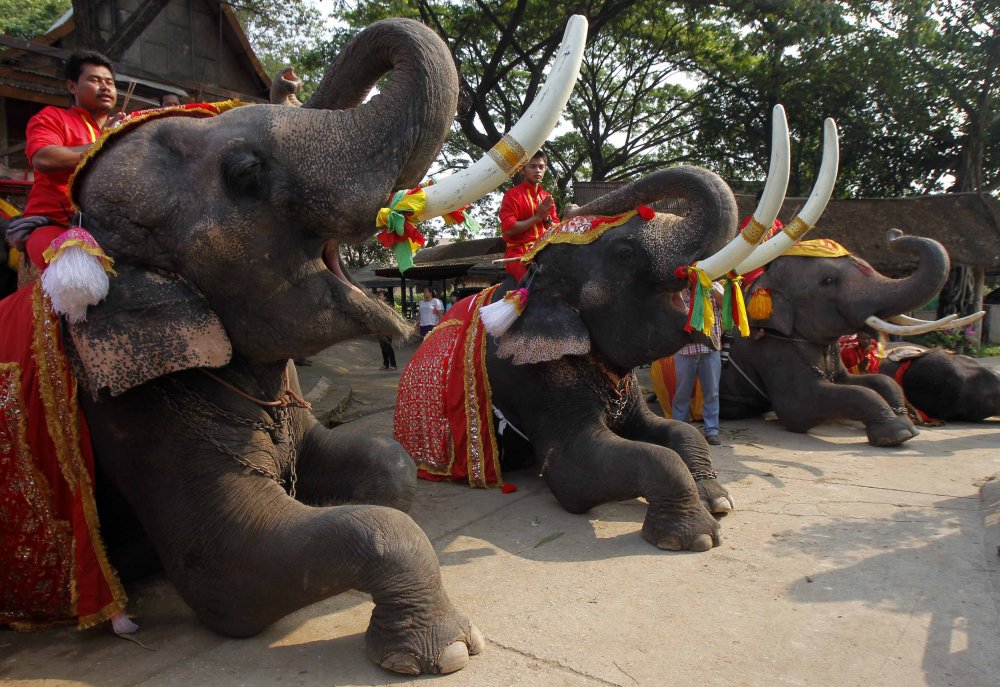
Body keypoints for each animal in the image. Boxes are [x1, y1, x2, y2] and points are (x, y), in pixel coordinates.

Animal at [0, 17, 588, 676]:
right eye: (245, 174)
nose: (288, 78)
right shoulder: (131, 410)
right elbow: (231, 574)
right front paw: (449, 650)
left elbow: (388, 468)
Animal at [720, 231, 952, 446]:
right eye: (828, 281)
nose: (895, 233)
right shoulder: (772, 350)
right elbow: (799, 408)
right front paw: (897, 435)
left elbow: (875, 380)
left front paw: (908, 425)